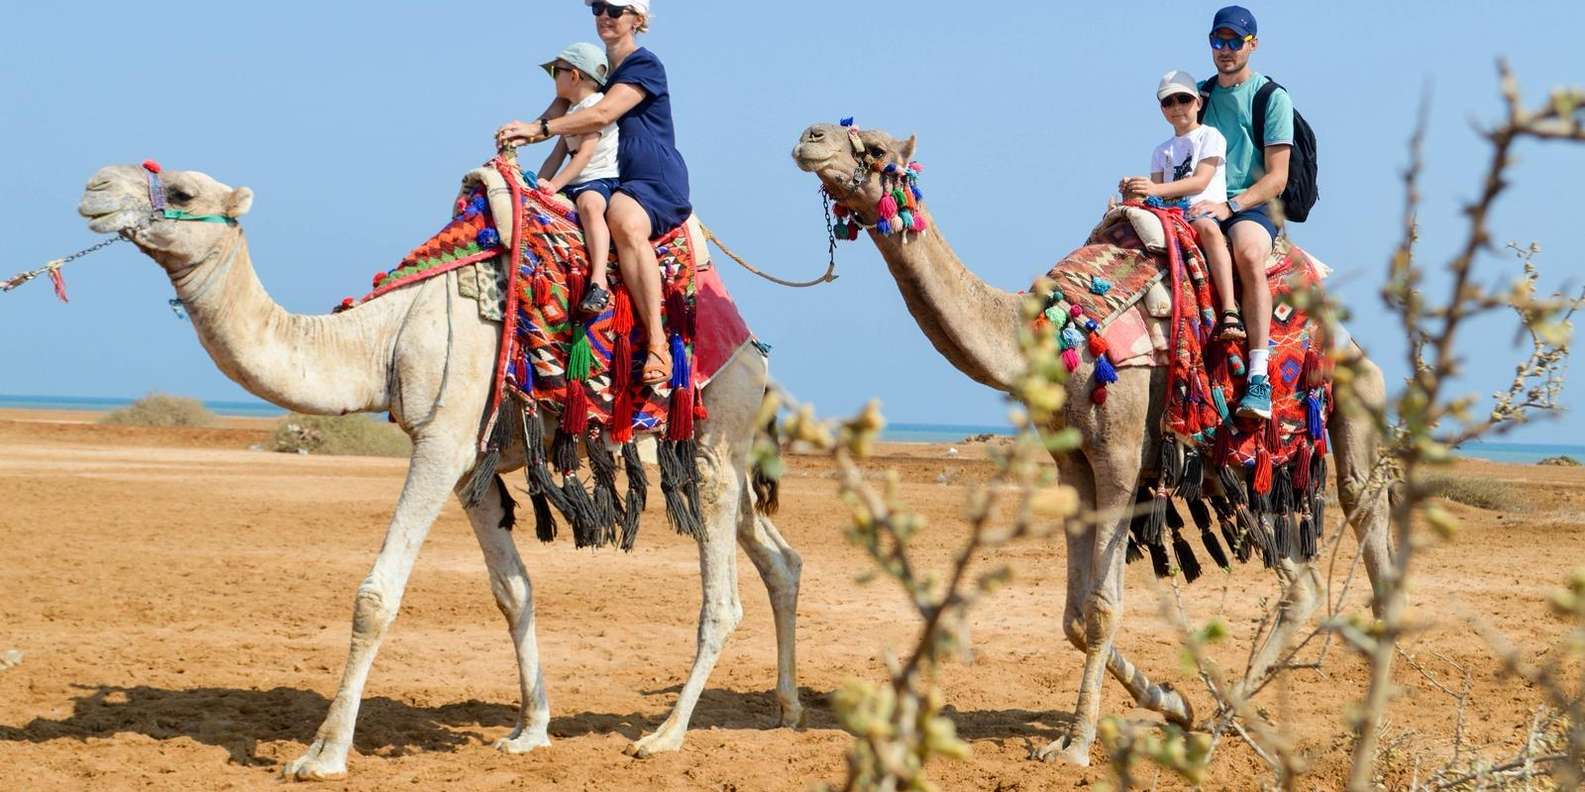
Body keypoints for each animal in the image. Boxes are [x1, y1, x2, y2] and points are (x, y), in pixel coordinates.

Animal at [74, 163, 804, 780]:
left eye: (183, 189)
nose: (94, 187)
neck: (384, 338)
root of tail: (753, 347)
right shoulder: (468, 464)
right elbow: (513, 592)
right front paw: (530, 730)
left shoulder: (441, 439)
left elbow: (375, 596)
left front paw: (322, 754)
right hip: (720, 452)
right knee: (779, 559)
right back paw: (786, 710)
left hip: (714, 434)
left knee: (722, 598)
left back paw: (665, 736)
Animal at [793, 123, 1393, 766]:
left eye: (877, 149)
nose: (810, 137)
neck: (1054, 335)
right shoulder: (1073, 462)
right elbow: (1075, 616)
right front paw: (1171, 701)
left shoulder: (1120, 457)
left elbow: (1103, 609)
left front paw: (1077, 745)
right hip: (1236, 470)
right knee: (1299, 584)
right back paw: (1217, 724)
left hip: (1351, 404)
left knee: (1366, 526)